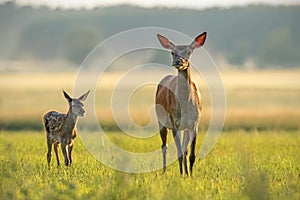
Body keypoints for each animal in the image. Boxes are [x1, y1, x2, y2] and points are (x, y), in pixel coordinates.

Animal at [155, 32, 206, 176]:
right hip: (161, 121)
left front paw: (190, 175)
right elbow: (178, 152)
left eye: (189, 51)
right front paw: (181, 174)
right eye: (173, 52)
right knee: (164, 146)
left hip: (185, 128)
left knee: (185, 150)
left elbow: (191, 154)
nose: (179, 62)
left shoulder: (194, 124)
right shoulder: (174, 122)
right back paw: (164, 171)